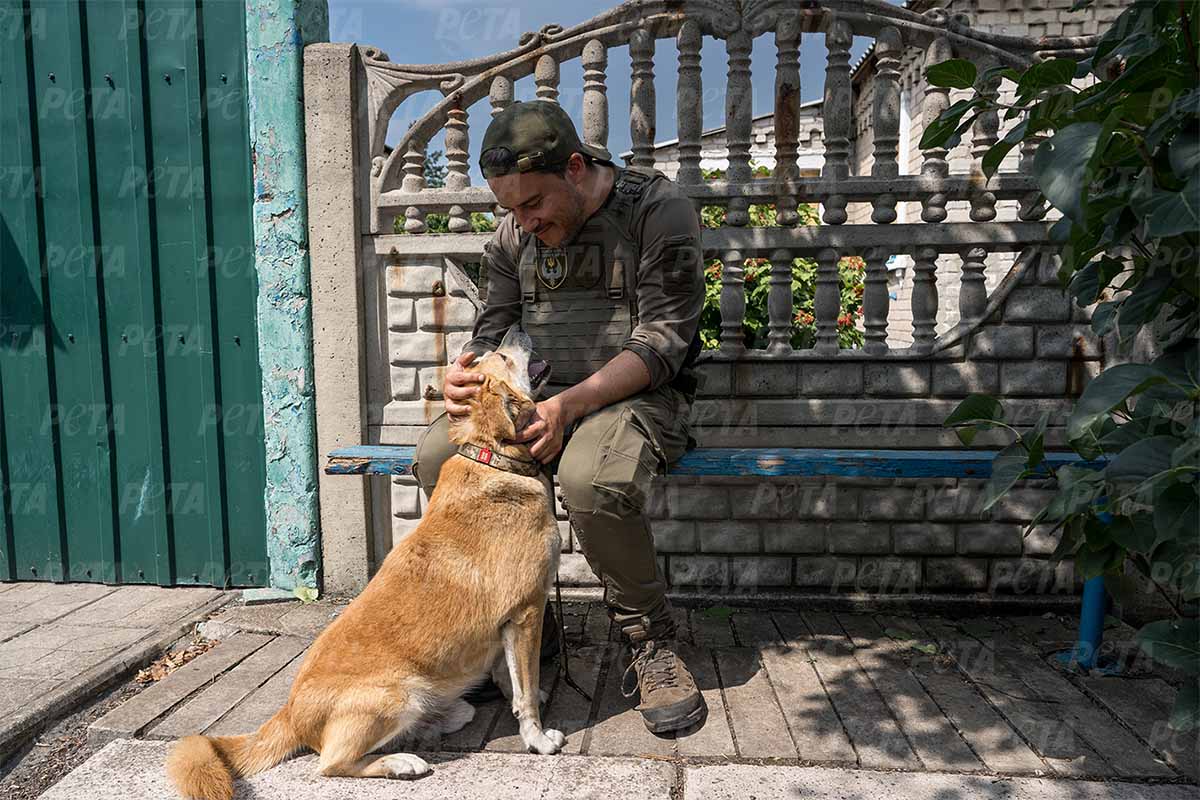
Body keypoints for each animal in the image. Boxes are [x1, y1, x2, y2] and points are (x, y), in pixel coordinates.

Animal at [164, 328, 561, 796]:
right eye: (502, 356)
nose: (516, 329)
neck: (492, 456)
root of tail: (290, 713)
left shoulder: (508, 625)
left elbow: (509, 676)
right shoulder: (527, 612)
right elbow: (524, 688)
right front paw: (537, 738)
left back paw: (434, 725)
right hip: (398, 695)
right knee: (331, 763)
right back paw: (400, 763)